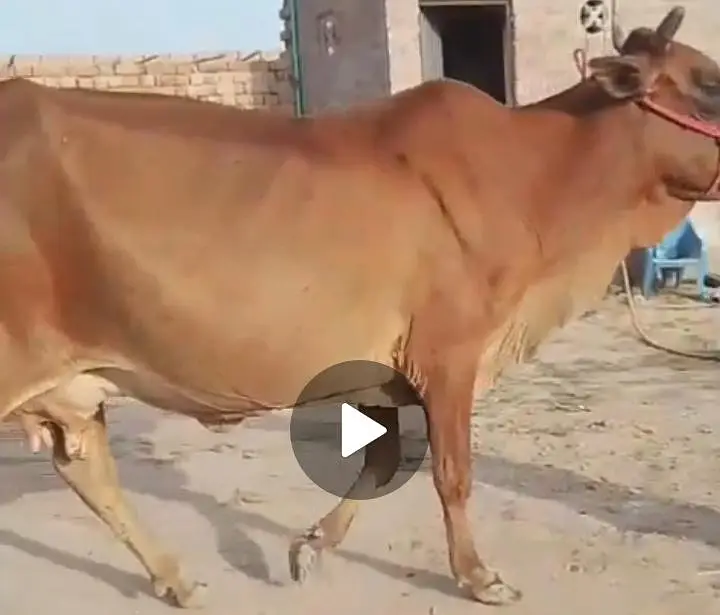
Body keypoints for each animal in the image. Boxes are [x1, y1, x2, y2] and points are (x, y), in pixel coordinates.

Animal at [1, 5, 719, 609]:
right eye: (708, 83)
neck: (537, 180)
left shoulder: (382, 370)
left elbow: (380, 465)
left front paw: (310, 547)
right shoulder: (448, 355)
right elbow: (451, 473)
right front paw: (478, 576)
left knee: (90, 468)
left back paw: (177, 579)